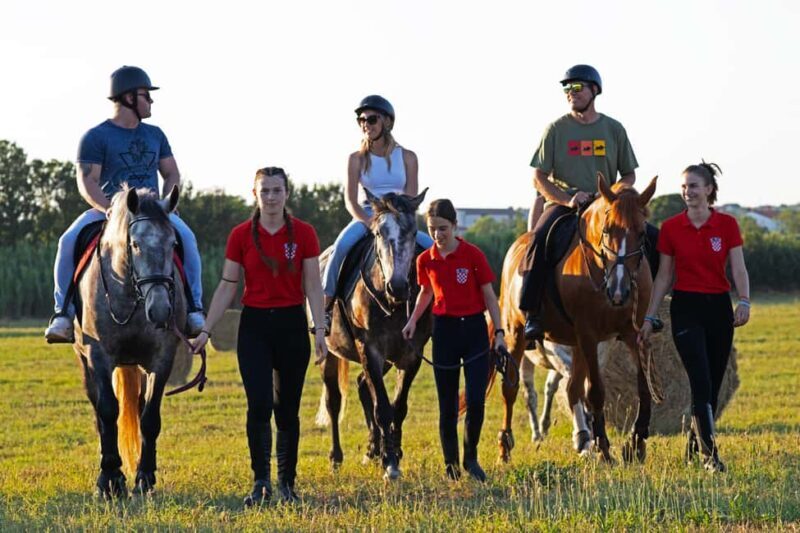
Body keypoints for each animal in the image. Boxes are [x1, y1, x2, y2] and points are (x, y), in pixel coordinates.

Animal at [72, 186, 188, 498]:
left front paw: (144, 477)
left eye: (173, 244)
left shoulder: (162, 357)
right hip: (85, 360)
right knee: (99, 409)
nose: (160, 310)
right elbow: (108, 410)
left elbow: (149, 417)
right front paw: (110, 479)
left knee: (136, 405)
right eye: (135, 245)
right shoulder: (98, 355)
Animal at [315, 189, 430, 481]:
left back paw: (373, 450)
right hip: (328, 352)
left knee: (361, 386)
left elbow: (398, 408)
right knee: (334, 400)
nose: (397, 286)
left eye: (413, 231)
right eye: (378, 233)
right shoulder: (371, 349)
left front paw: (393, 455)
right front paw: (390, 464)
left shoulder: (411, 355)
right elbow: (383, 408)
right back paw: (336, 457)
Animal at [491, 174, 661, 463]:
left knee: (572, 389)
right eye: (607, 230)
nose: (619, 292)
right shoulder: (589, 335)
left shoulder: (633, 333)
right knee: (511, 389)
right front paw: (604, 447)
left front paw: (636, 443)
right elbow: (596, 392)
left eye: (641, 233)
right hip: (517, 336)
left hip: (575, 345)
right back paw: (505, 446)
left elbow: (643, 388)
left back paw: (583, 440)